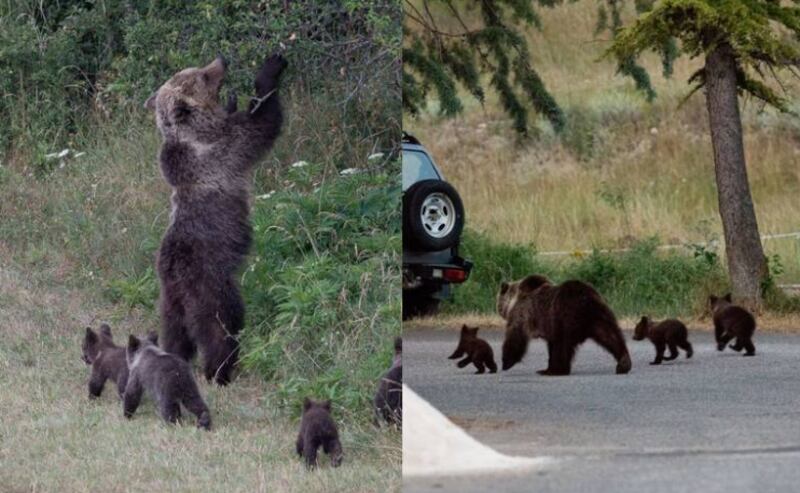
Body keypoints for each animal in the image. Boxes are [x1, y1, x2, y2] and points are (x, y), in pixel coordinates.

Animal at [145, 53, 288, 384]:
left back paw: (176, 359)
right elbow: (261, 124)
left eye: (194, 69)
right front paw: (270, 70)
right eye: (202, 76)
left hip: (169, 302)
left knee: (175, 334)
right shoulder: (226, 147)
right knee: (221, 327)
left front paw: (234, 100)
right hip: (211, 286)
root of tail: (176, 278)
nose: (220, 59)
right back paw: (221, 370)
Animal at [494, 274, 632, 374]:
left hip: (564, 317)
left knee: (562, 345)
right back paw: (624, 363)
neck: (514, 301)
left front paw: (506, 362)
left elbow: (515, 335)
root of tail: (585, 300)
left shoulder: (523, 313)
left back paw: (555, 371)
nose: (499, 311)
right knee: (611, 336)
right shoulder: (548, 327)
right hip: (599, 316)